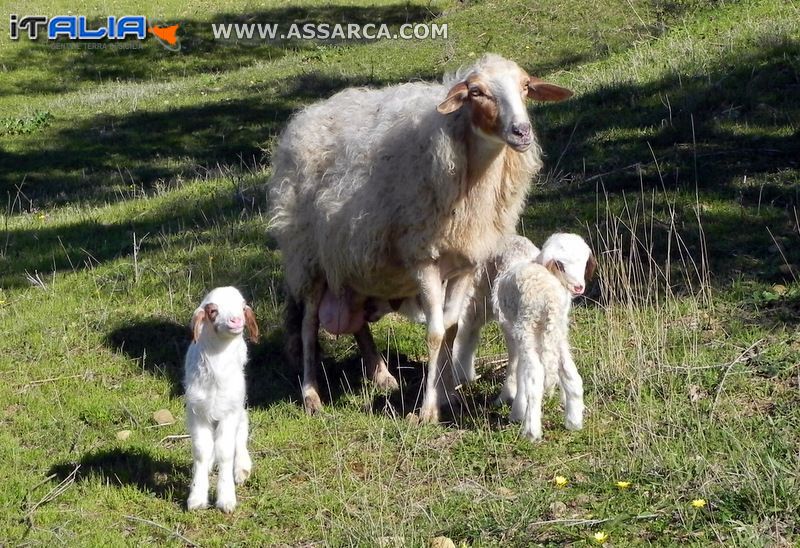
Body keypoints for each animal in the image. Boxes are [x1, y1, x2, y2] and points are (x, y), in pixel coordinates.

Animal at [184, 286, 260, 512]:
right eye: (213, 310)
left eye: (243, 306)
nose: (236, 320)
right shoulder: (196, 411)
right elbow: (201, 450)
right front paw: (196, 498)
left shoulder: (230, 412)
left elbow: (226, 451)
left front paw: (226, 499)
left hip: (239, 409)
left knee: (241, 434)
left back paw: (242, 468)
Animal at [272, 53, 572, 422]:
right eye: (476, 92)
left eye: (526, 86)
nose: (522, 131)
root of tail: (307, 114)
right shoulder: (424, 260)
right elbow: (435, 332)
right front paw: (428, 410)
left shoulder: (466, 263)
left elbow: (452, 328)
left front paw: (448, 396)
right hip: (307, 257)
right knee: (308, 325)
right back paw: (311, 394)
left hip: (351, 260)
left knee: (355, 319)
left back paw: (381, 374)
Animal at [490, 232, 596, 440]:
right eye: (561, 264)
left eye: (584, 262)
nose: (579, 287)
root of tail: (550, 300)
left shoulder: (510, 327)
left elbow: (516, 365)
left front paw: (514, 406)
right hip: (556, 332)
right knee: (570, 371)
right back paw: (574, 422)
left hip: (528, 326)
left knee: (535, 376)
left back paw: (531, 432)